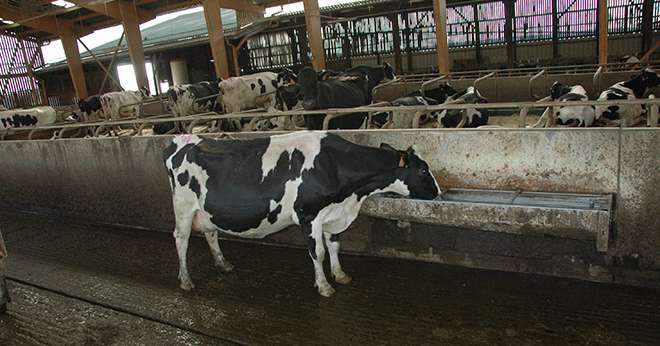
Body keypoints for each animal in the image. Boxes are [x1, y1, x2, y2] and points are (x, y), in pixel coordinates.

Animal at [164, 131, 444, 296]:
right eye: (422, 170)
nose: (439, 192)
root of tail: (182, 139)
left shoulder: (333, 215)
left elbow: (334, 246)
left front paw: (340, 275)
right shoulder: (309, 216)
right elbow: (318, 252)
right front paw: (324, 286)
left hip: (207, 209)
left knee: (210, 233)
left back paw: (223, 264)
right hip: (183, 205)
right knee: (181, 238)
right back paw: (185, 280)